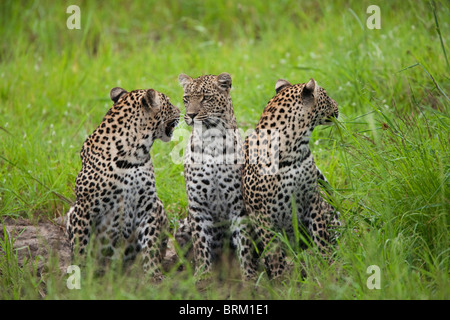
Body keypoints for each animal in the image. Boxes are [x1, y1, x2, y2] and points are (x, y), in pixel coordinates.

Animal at [65, 86, 181, 278]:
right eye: (169, 103)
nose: (180, 111)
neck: (133, 155)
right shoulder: (84, 208)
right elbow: (80, 243)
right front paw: (80, 270)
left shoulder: (149, 206)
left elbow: (151, 243)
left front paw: (153, 273)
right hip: (72, 212)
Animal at [176, 73, 246, 280]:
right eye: (186, 98)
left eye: (205, 98)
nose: (191, 115)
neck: (211, 141)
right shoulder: (198, 206)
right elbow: (201, 244)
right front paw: (203, 276)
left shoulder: (238, 205)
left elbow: (245, 246)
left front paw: (249, 277)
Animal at [239, 78, 342, 280]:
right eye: (326, 96)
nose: (337, 106)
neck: (295, 148)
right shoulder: (262, 216)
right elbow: (274, 252)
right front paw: (281, 280)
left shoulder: (312, 199)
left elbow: (321, 235)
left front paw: (328, 265)